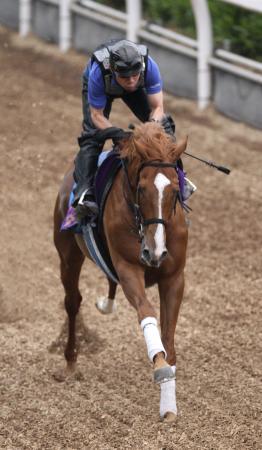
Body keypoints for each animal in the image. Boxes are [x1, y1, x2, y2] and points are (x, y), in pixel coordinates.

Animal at [53, 123, 188, 422]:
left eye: (175, 189)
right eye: (141, 188)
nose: (154, 252)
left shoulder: (174, 277)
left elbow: (169, 337)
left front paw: (169, 404)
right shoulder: (128, 269)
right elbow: (147, 313)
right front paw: (159, 366)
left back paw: (106, 303)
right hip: (68, 253)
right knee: (72, 302)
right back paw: (69, 361)